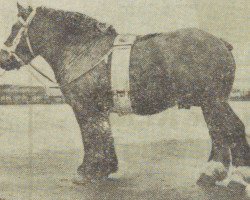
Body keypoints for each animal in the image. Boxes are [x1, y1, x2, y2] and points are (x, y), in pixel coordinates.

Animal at [0, 3, 249, 187]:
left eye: (14, 28)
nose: (3, 58)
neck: (83, 49)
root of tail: (220, 43)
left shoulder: (85, 107)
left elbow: (91, 137)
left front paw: (87, 171)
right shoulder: (98, 110)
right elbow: (103, 136)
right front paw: (105, 168)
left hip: (214, 101)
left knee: (232, 129)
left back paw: (237, 178)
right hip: (210, 103)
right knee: (219, 132)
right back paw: (210, 174)